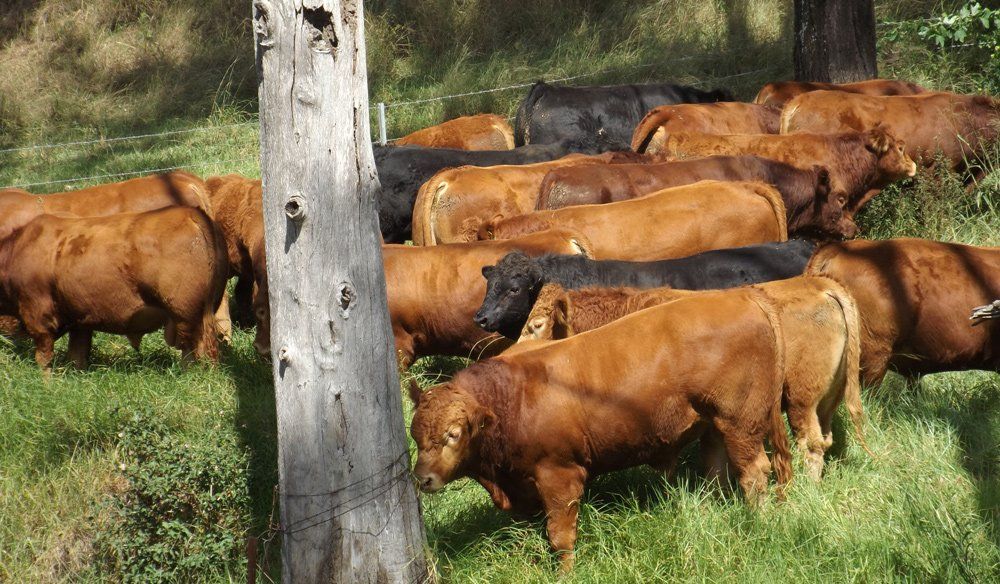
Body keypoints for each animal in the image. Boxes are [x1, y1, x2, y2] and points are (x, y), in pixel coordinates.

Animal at [0, 207, 228, 370]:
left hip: (187, 314)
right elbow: (77, 356)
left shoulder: (37, 314)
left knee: (198, 350)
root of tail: (191, 213)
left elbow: (44, 357)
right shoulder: (80, 320)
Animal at [410, 287, 793, 571]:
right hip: (715, 426)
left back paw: (758, 523)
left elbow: (560, 536)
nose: (422, 479)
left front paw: (565, 573)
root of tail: (743, 296)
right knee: (717, 471)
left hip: (741, 424)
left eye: (454, 434)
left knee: (755, 473)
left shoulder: (560, 476)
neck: (512, 397)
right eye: (415, 435)